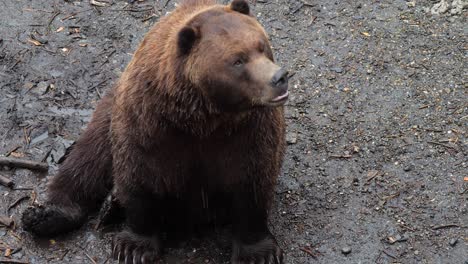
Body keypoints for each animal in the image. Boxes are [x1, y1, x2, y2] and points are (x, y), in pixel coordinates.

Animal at [23, 1, 290, 262]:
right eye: (238, 60)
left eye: (262, 46)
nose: (279, 77)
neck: (205, 117)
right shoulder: (150, 124)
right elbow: (140, 177)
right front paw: (133, 247)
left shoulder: (248, 132)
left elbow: (252, 183)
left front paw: (258, 253)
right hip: (109, 111)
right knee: (88, 158)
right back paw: (48, 215)